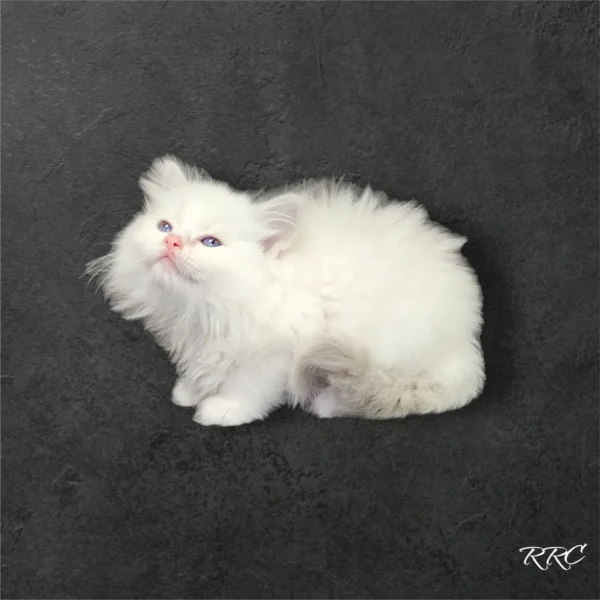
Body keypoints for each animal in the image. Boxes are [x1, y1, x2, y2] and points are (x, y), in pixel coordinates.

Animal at [86, 156, 486, 426]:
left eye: (211, 242)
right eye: (165, 226)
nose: (171, 242)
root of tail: (468, 349)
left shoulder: (279, 350)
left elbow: (249, 386)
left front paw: (223, 409)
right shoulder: (206, 338)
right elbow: (206, 366)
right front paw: (192, 390)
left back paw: (330, 402)